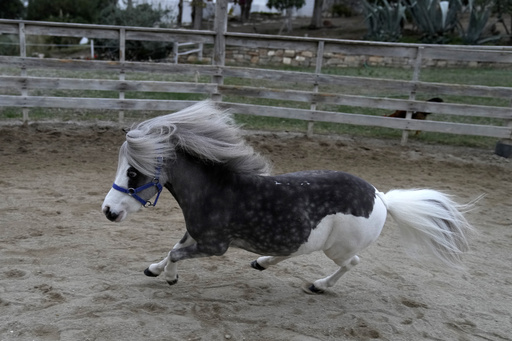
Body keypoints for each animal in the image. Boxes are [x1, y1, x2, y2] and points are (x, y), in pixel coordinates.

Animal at [101, 99, 476, 294]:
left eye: (133, 172)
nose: (107, 211)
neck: (215, 191)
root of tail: (381, 198)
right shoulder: (195, 234)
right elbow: (172, 248)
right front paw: (154, 269)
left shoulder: (215, 246)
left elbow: (177, 254)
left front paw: (170, 276)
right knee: (293, 249)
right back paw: (263, 262)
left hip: (338, 248)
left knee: (351, 262)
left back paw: (319, 285)